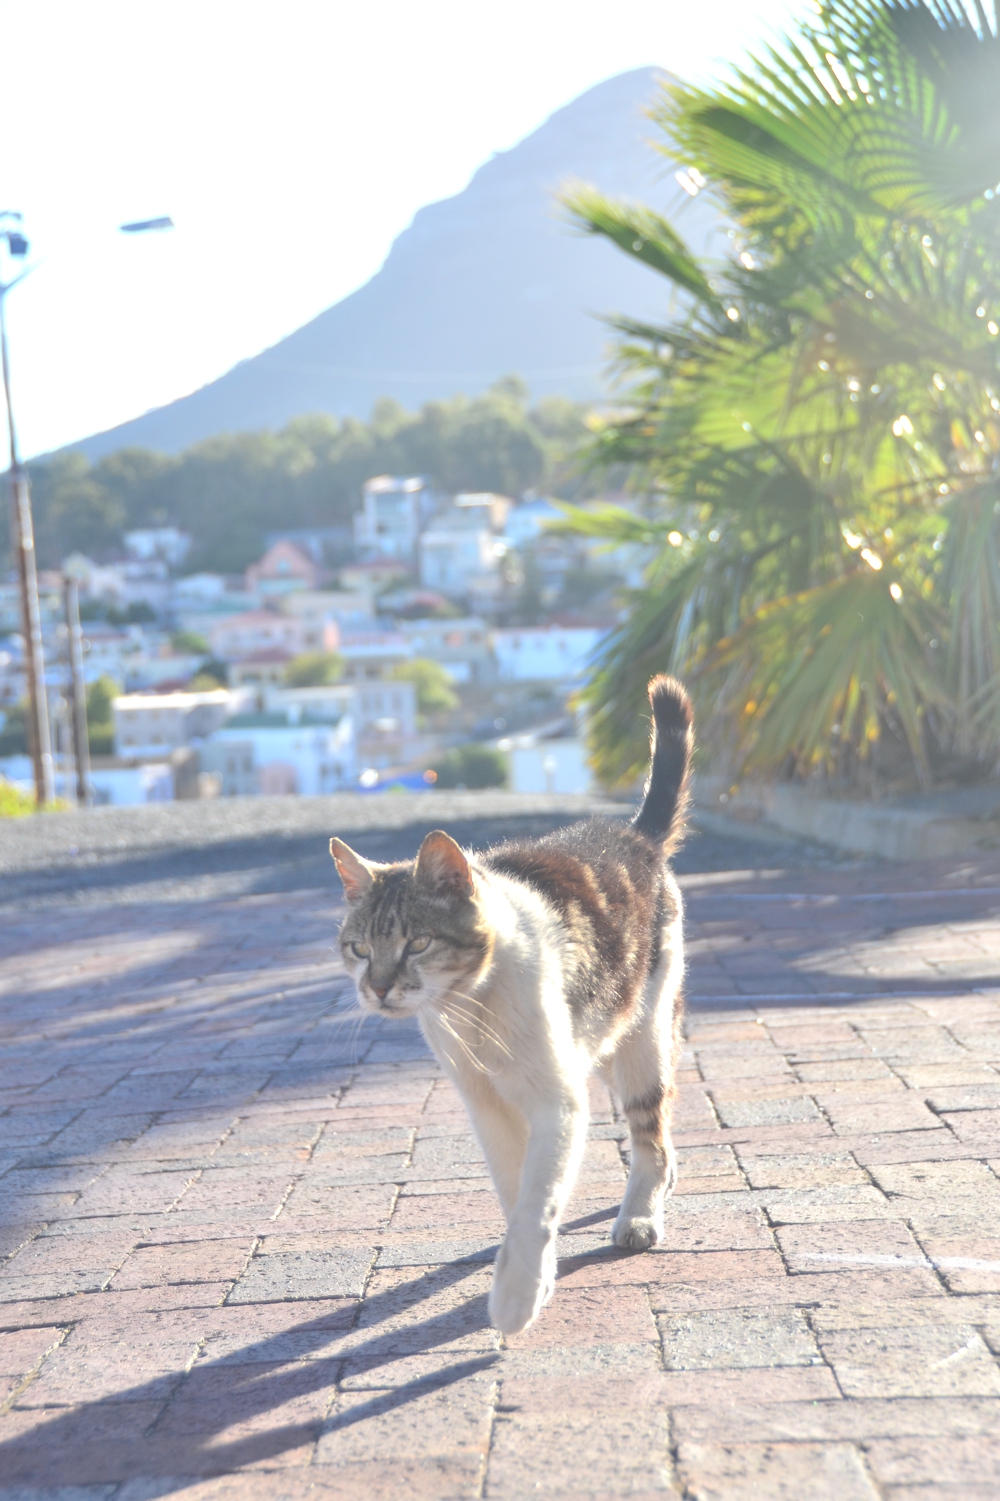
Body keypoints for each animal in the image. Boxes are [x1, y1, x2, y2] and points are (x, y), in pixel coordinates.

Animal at [330, 675, 690, 1332]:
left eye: (417, 942)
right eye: (359, 948)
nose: (379, 987)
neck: (470, 1011)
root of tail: (632, 834)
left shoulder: (558, 1102)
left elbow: (536, 1205)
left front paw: (518, 1296)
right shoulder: (487, 1105)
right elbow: (514, 1189)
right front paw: (533, 1276)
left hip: (641, 1042)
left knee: (651, 1134)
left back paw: (639, 1217)